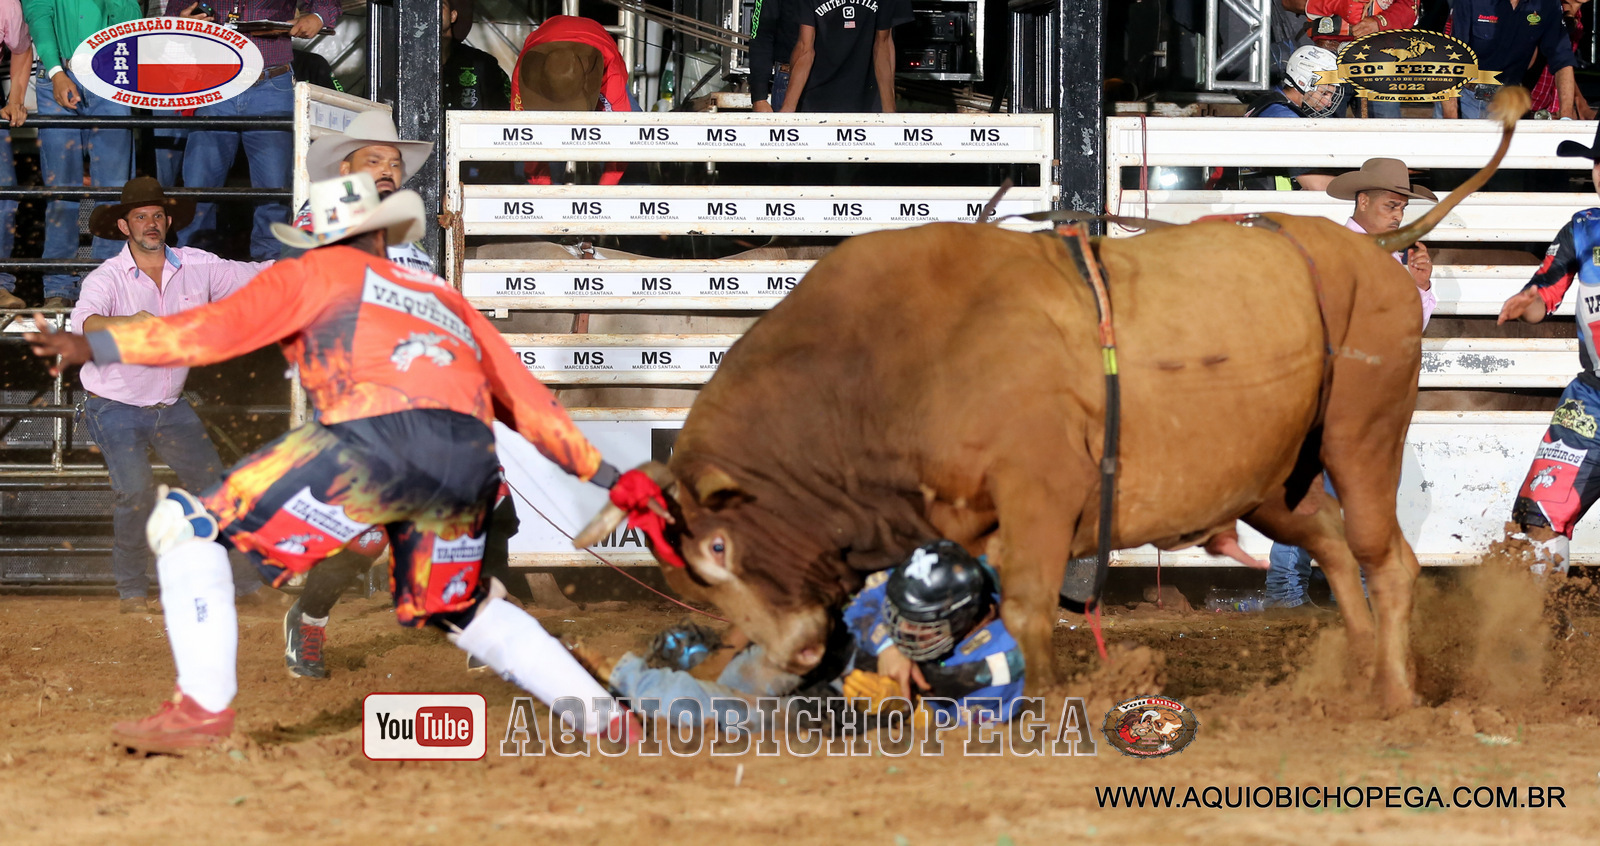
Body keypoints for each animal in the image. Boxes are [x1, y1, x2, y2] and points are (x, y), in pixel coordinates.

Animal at [577, 88, 1531, 715]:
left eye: (721, 549)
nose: (792, 653)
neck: (889, 359)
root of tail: (1374, 249)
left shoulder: (1040, 491)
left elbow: (1031, 605)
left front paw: (1039, 702)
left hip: (1362, 432)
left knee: (1383, 556)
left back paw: (1397, 694)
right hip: (1270, 480)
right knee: (1328, 542)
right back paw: (1359, 674)